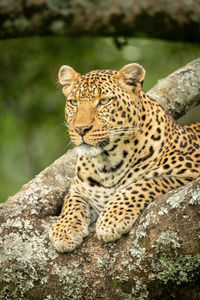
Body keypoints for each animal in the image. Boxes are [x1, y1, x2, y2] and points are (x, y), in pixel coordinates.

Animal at [48, 63, 200, 253]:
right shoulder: (79, 188)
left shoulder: (190, 171)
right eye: (73, 102)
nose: (80, 129)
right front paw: (64, 229)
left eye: (104, 101)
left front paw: (111, 219)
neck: (107, 162)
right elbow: (71, 202)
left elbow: (142, 184)